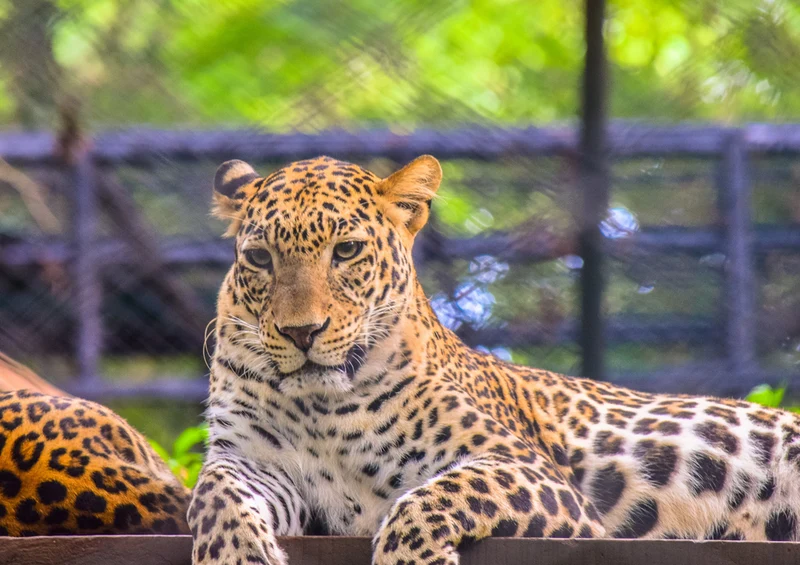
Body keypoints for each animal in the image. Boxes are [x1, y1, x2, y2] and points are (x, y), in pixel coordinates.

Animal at [189, 154, 800, 565]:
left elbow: (431, 496)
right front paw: (235, 555)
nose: (301, 332)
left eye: (346, 251)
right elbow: (212, 494)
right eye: (259, 258)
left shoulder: (534, 474)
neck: (322, 404)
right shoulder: (251, 458)